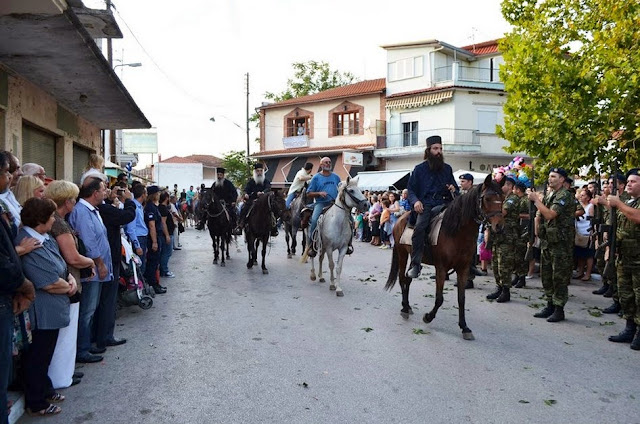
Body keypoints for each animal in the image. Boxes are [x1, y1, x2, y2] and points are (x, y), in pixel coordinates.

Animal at [384, 176, 504, 342]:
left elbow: (461, 298)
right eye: (487, 198)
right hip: (402, 253)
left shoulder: (463, 269)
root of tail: (401, 218)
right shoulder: (441, 268)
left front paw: (465, 327)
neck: (456, 232)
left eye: (503, 198)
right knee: (402, 279)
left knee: (408, 279)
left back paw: (408, 306)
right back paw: (404, 308)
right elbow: (440, 298)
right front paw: (428, 317)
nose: (499, 226)